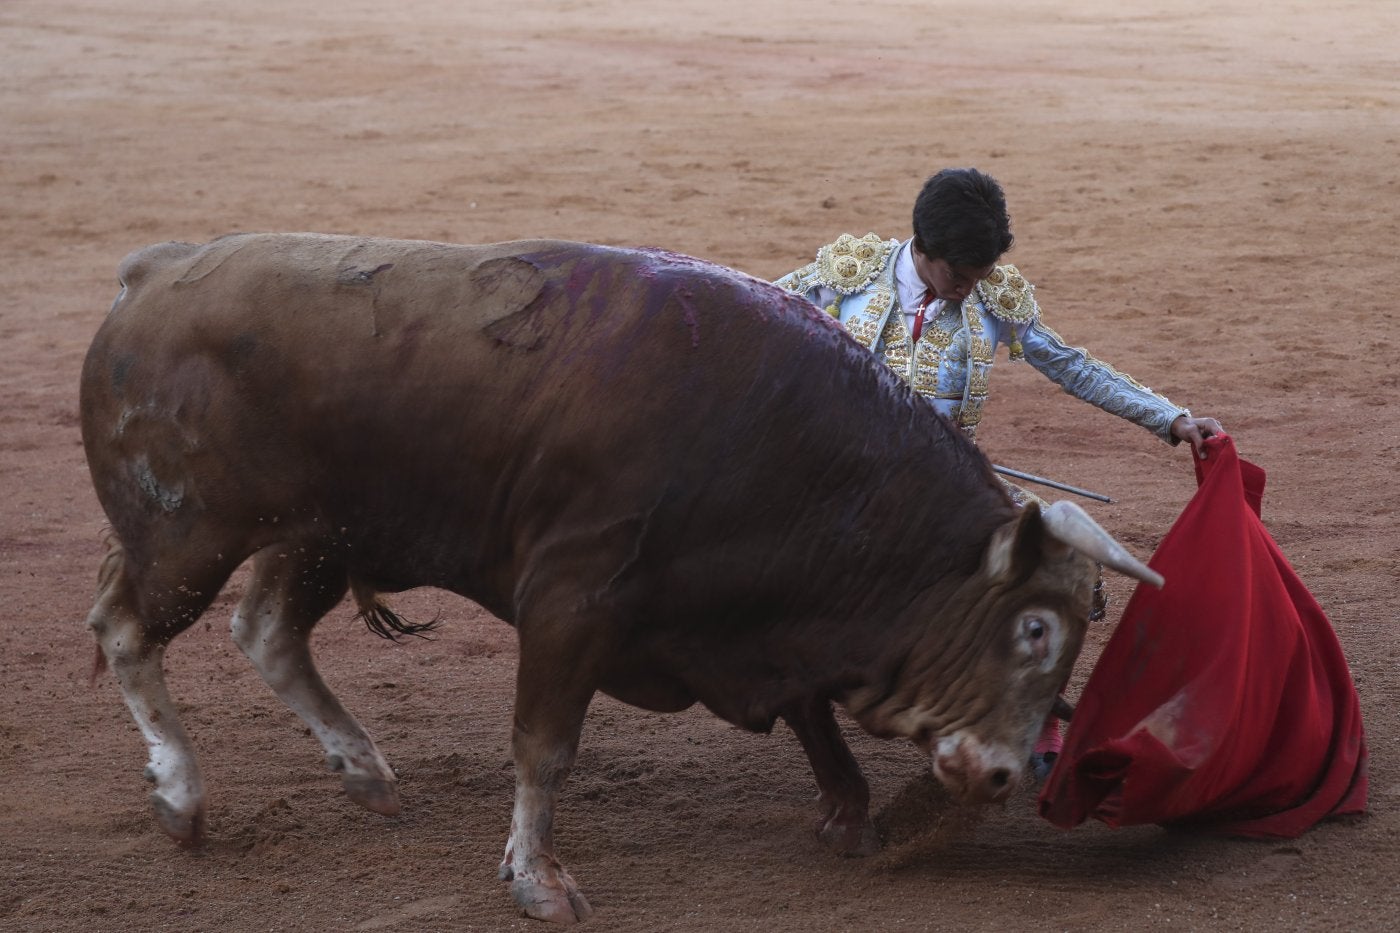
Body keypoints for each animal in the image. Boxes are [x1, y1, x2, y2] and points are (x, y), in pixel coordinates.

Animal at [81, 233, 1164, 924]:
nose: (1003, 774)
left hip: (315, 536)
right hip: (187, 539)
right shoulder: (571, 604)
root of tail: (149, 273)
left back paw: (366, 774)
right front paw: (539, 883)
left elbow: (811, 710)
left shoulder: (754, 619)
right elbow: (544, 746)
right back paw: (180, 798)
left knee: (266, 631)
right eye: (1033, 630)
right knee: (127, 629)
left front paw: (850, 814)